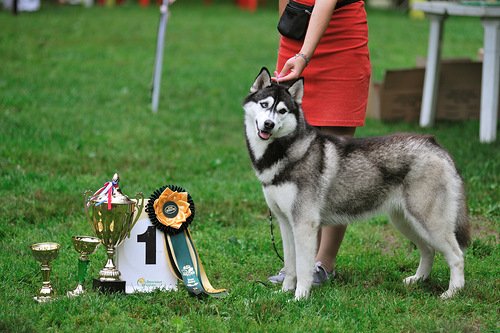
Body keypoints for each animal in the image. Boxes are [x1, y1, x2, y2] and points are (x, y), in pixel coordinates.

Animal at [244, 67, 470, 298]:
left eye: (282, 111)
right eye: (264, 105)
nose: (269, 124)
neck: (283, 152)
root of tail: (434, 144)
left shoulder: (304, 224)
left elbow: (302, 268)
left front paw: (299, 297)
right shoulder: (285, 223)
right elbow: (290, 265)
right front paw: (284, 292)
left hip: (430, 222)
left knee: (457, 256)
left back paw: (452, 292)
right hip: (405, 221)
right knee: (428, 250)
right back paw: (418, 279)